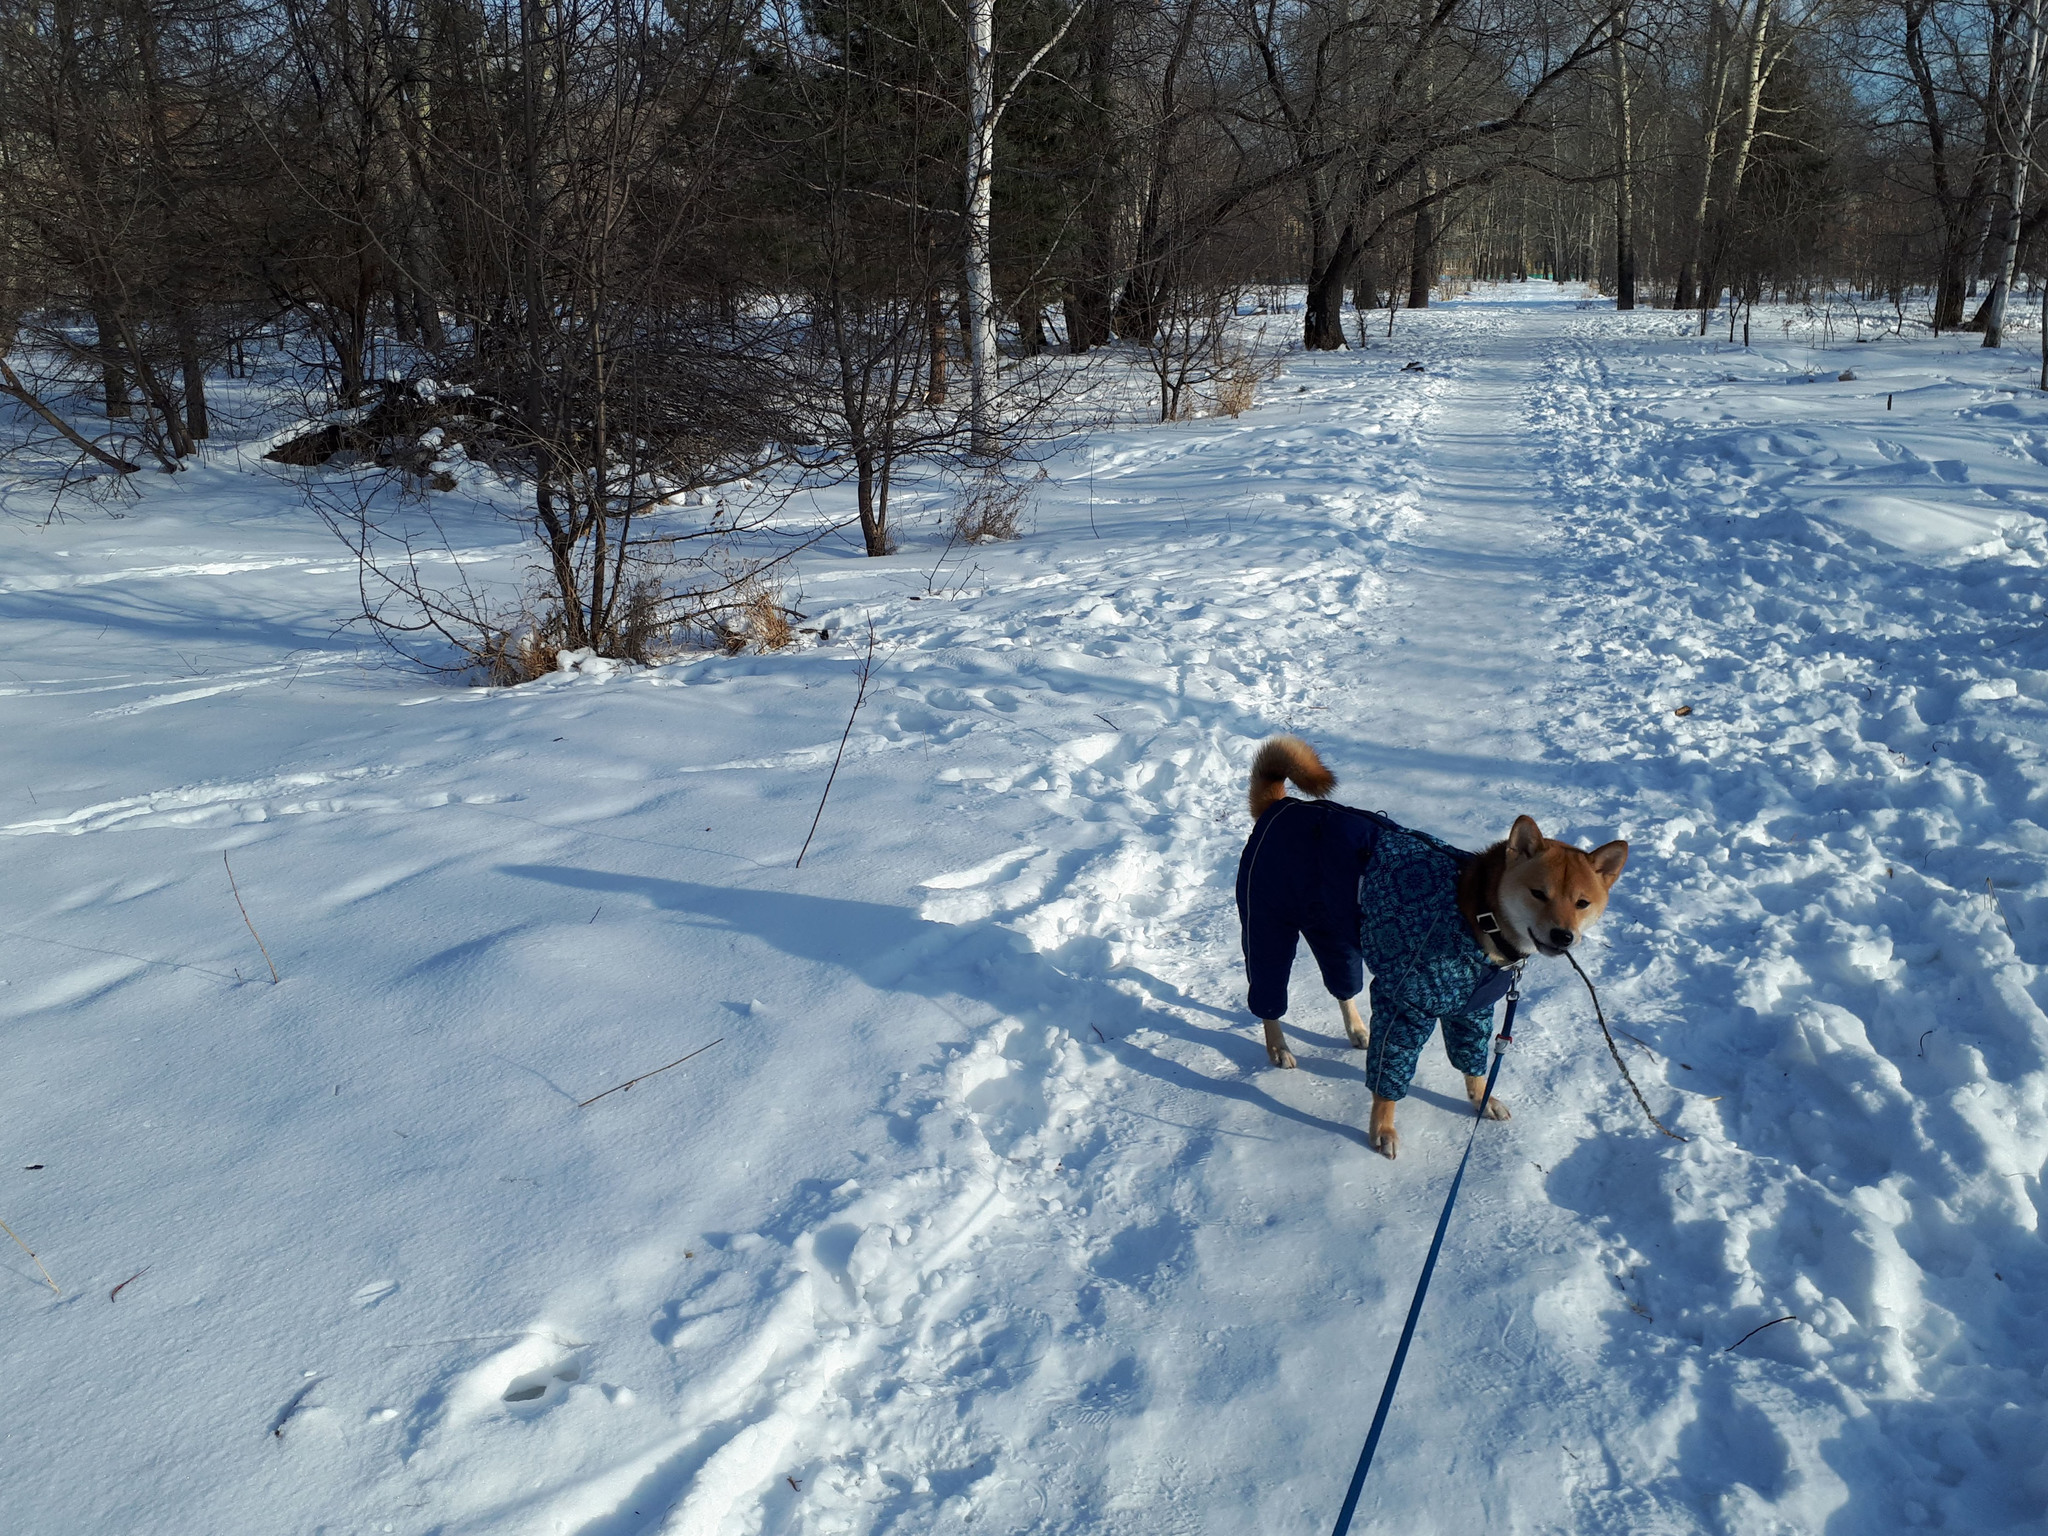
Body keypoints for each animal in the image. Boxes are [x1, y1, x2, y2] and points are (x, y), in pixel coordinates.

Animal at [1236, 741, 1622, 1163]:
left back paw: (1357, 1029)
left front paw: (1481, 1100)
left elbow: (1474, 1062)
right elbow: (1388, 1079)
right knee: (1268, 995)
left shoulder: (1471, 1010)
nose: (1563, 936)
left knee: (1342, 985)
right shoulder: (1403, 1003)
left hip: (1333, 931)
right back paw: (1279, 1047)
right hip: (1268, 926)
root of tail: (1282, 806)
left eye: (1582, 903)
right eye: (1539, 893)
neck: (1477, 915)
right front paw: (1382, 1130)